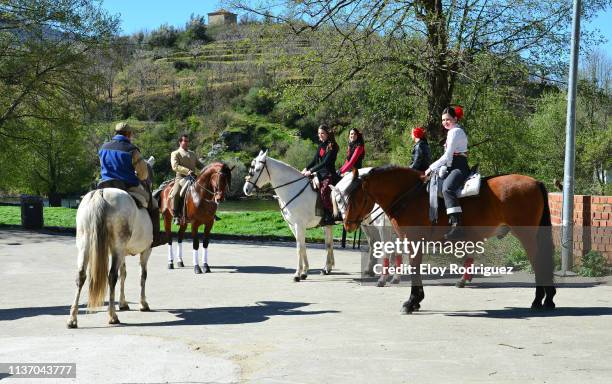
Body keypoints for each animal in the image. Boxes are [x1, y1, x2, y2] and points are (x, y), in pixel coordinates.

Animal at [66, 164, 157, 328]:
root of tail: (101, 193)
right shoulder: (146, 250)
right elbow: (142, 275)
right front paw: (143, 303)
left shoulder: (122, 253)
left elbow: (124, 273)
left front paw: (123, 303)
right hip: (117, 247)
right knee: (111, 276)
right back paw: (112, 316)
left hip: (86, 245)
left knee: (81, 276)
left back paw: (72, 319)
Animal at [243, 151, 334, 282]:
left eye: (258, 169)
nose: (246, 189)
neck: (293, 188)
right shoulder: (293, 226)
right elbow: (302, 246)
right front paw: (304, 272)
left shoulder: (299, 225)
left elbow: (299, 248)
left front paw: (297, 274)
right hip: (327, 224)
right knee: (329, 243)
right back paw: (327, 268)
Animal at [342, 166, 556, 314]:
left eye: (356, 197)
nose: (347, 225)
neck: (409, 196)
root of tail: (535, 182)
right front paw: (416, 300)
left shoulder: (413, 240)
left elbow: (414, 267)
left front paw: (411, 302)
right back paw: (548, 299)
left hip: (527, 235)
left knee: (538, 262)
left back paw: (539, 300)